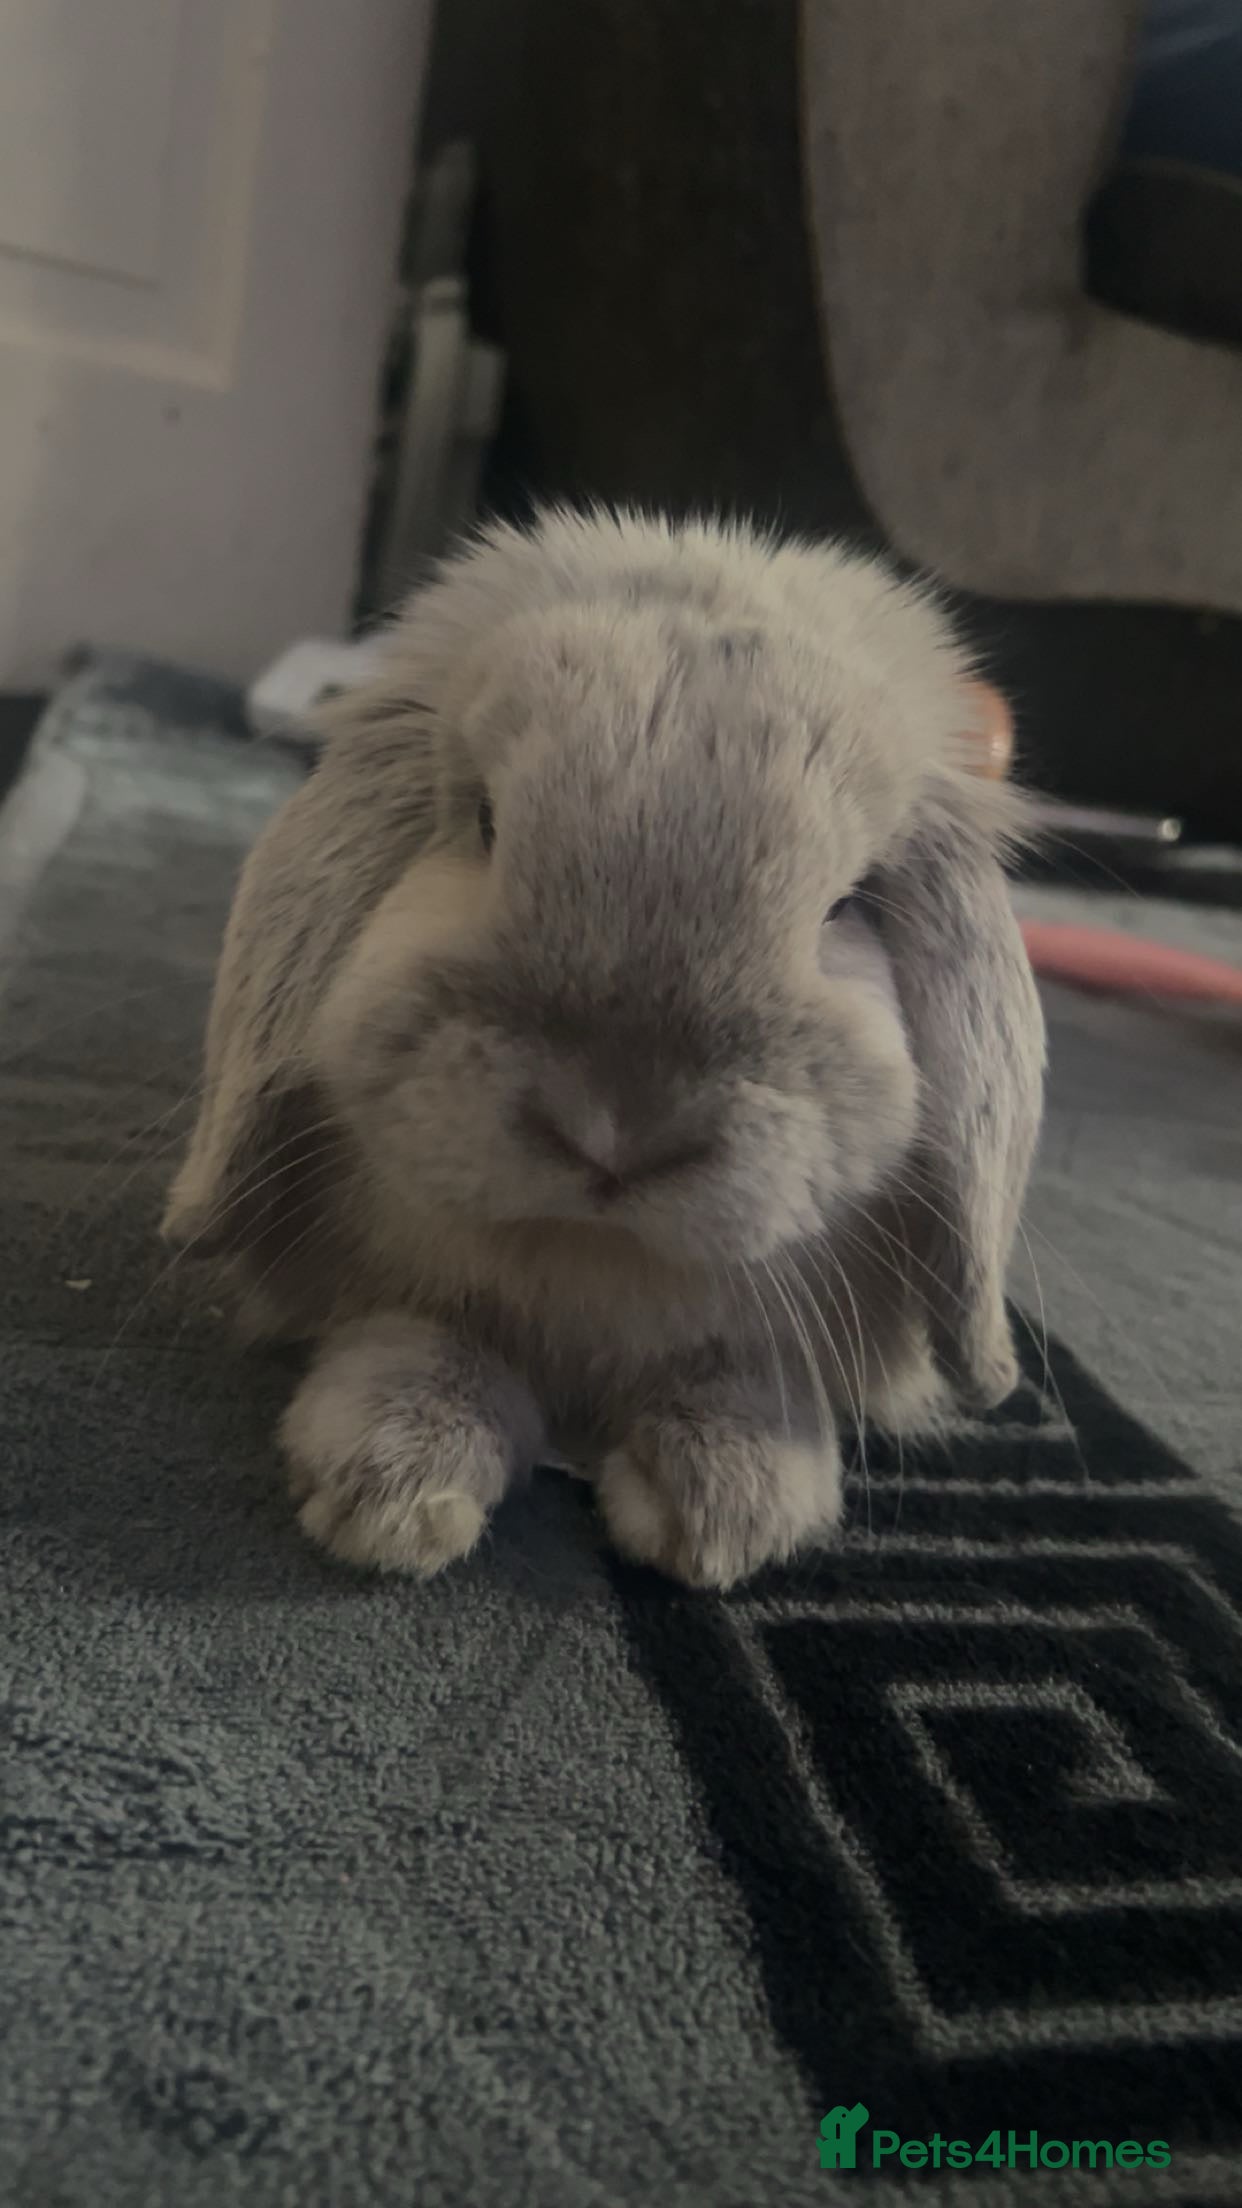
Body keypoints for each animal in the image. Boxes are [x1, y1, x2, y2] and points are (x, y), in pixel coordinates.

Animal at [163, 508, 1044, 1589]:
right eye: (486, 821)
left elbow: (740, 1384)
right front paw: (393, 1495)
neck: (594, 1263)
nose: (615, 1129)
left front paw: (724, 1518)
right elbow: (423, 1341)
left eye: (850, 902)